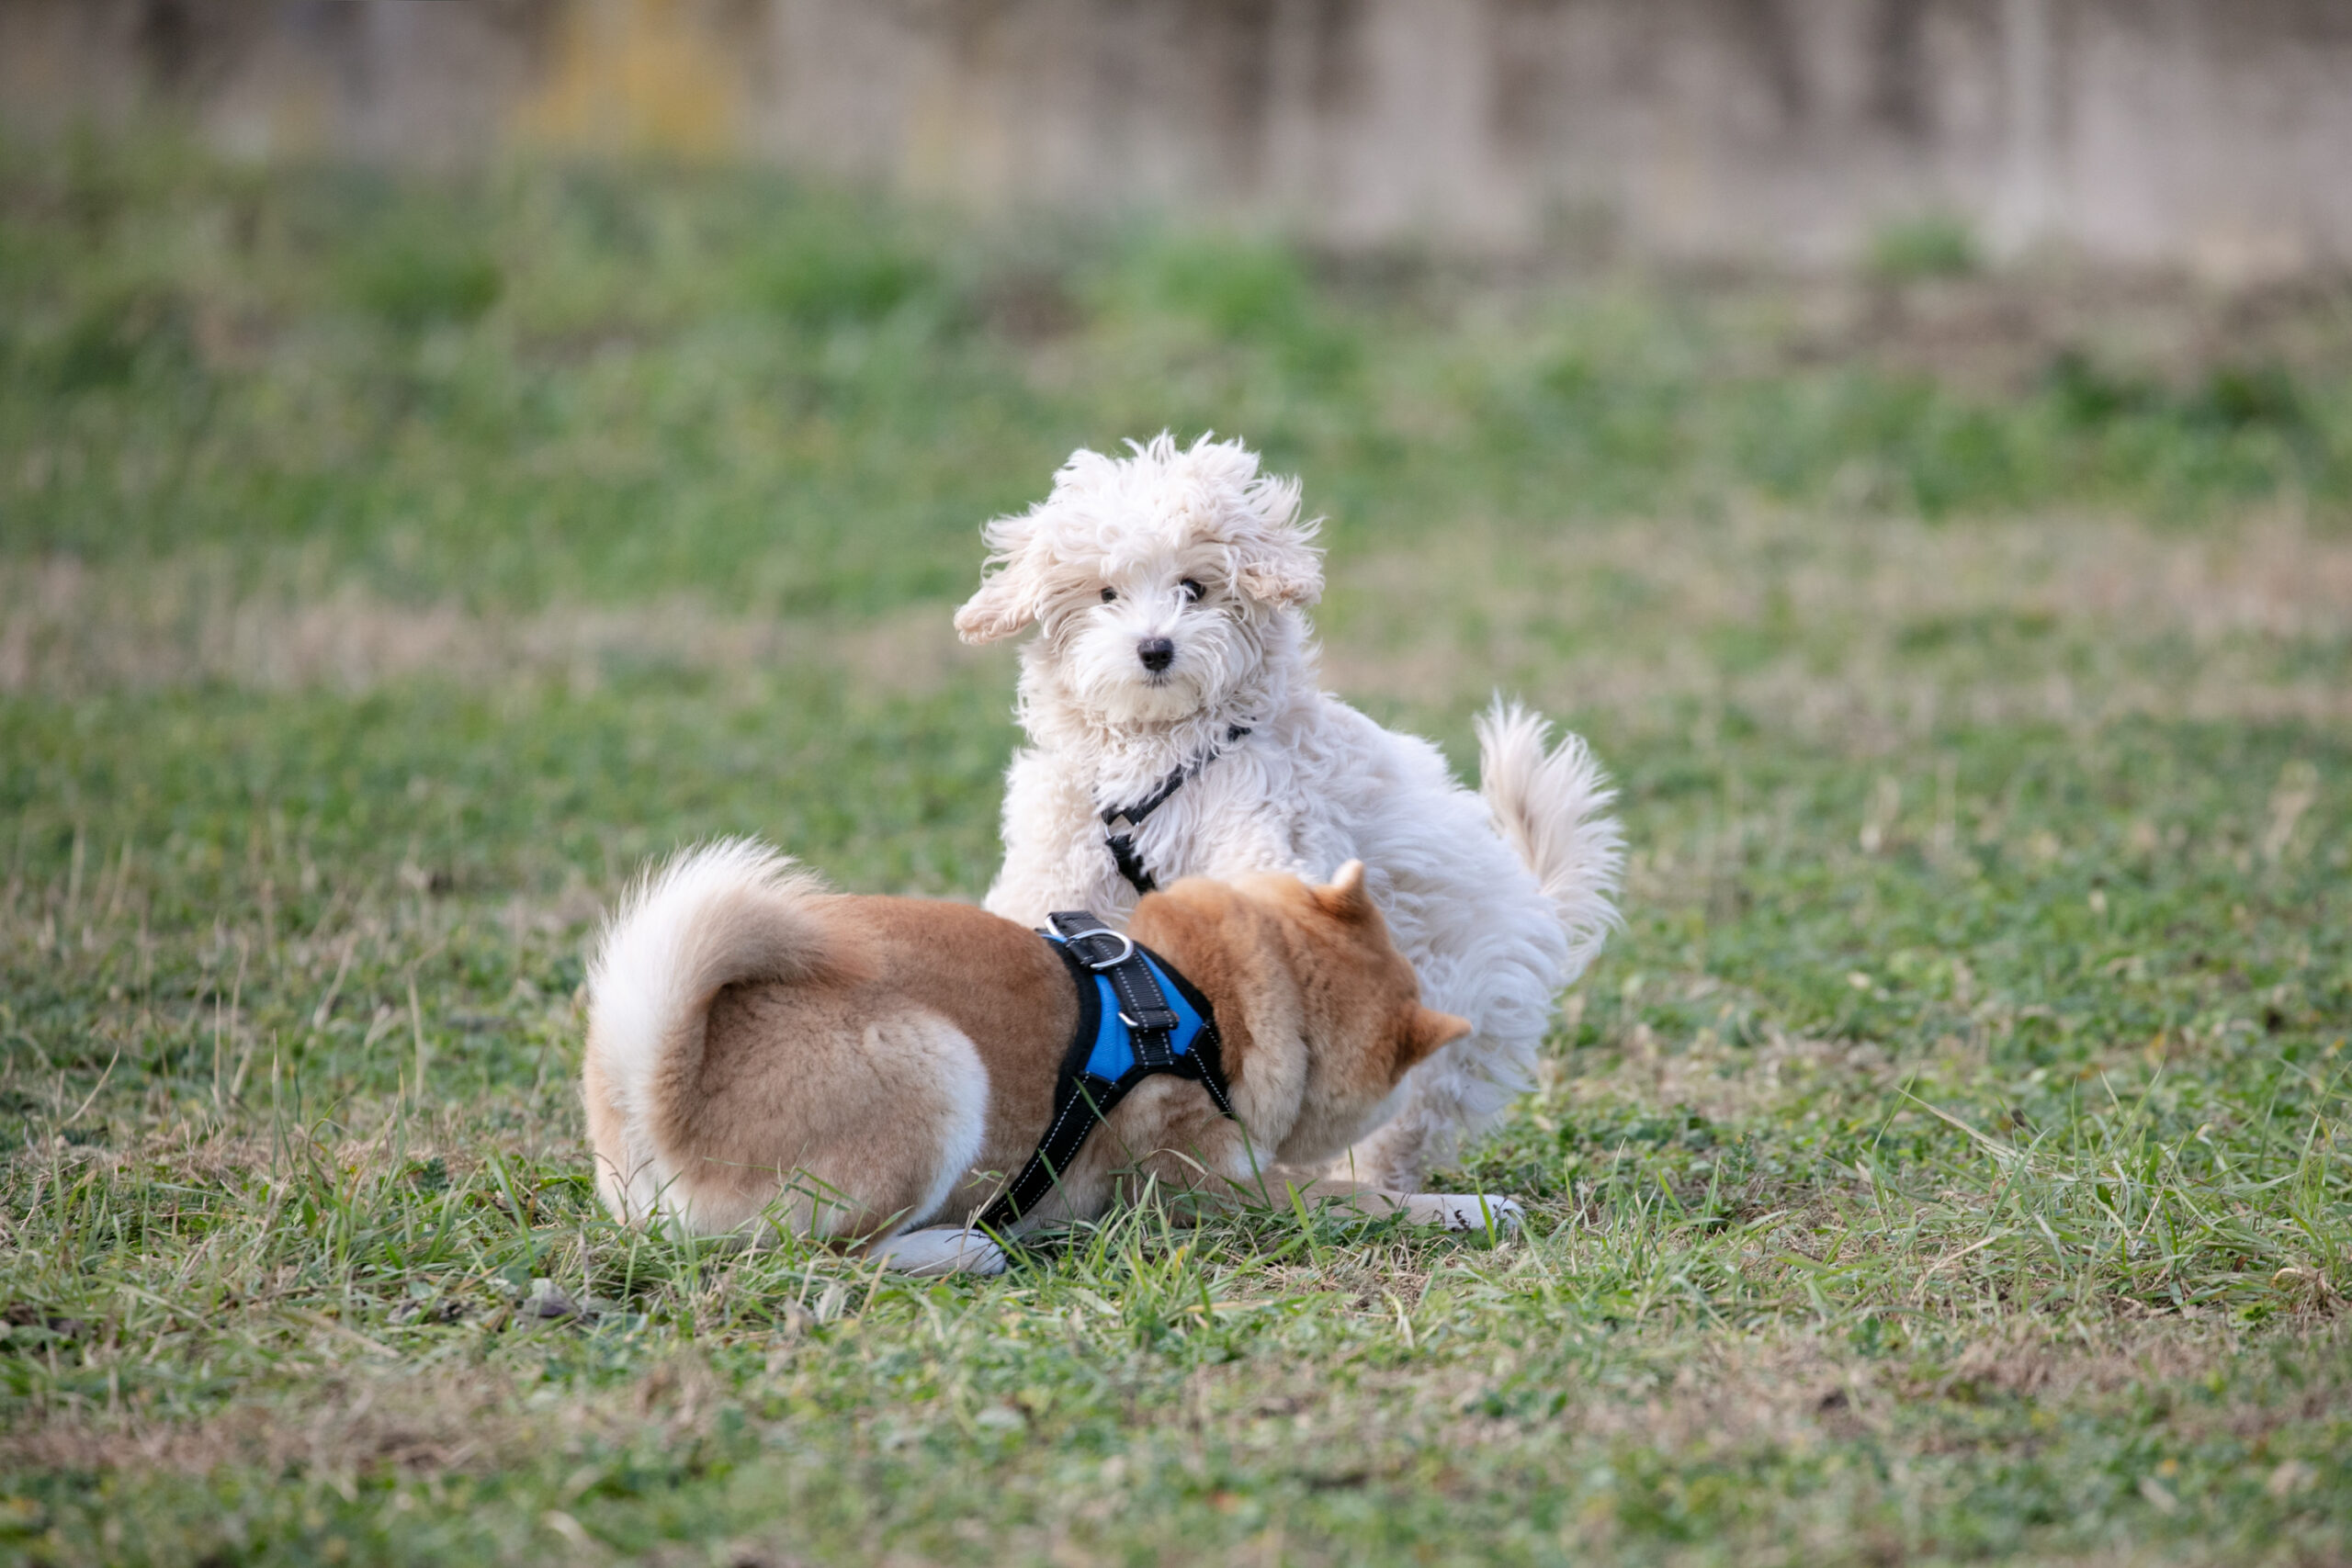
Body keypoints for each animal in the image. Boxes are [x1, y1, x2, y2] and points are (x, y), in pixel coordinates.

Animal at [578, 831, 1514, 1279]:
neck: (1210, 998)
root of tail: (658, 1096)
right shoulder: (1209, 1192)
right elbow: (1361, 1199)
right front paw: (1470, 1205)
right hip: (939, 1069)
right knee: (815, 1258)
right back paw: (959, 1250)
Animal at [950, 432, 1618, 1189]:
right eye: (1107, 594)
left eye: (1193, 588)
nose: (1155, 647)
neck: (1162, 744)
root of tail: (1534, 907)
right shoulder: (1064, 847)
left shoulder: (1262, 825)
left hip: (1448, 1019)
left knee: (1405, 1121)